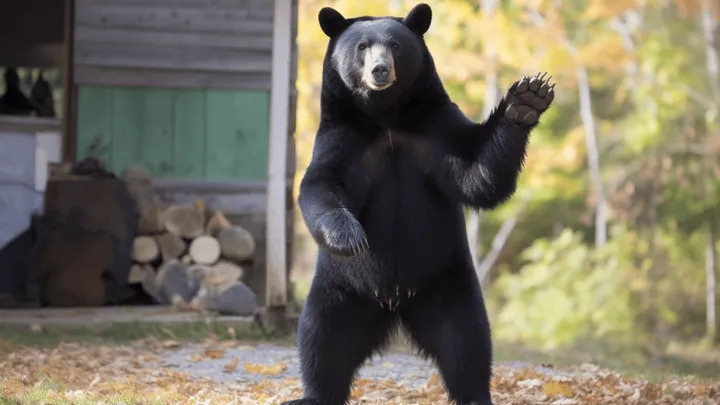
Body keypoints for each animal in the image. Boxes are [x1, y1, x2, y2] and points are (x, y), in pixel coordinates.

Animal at [281, 4, 554, 405]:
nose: (380, 70)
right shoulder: (344, 139)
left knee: (466, 340)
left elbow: (478, 175)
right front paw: (350, 237)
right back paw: (314, 394)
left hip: (445, 279)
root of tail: (394, 304)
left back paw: (476, 393)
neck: (387, 117)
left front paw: (527, 100)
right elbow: (321, 184)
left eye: (394, 46)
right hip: (342, 286)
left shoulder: (435, 131)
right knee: (322, 337)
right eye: (362, 47)